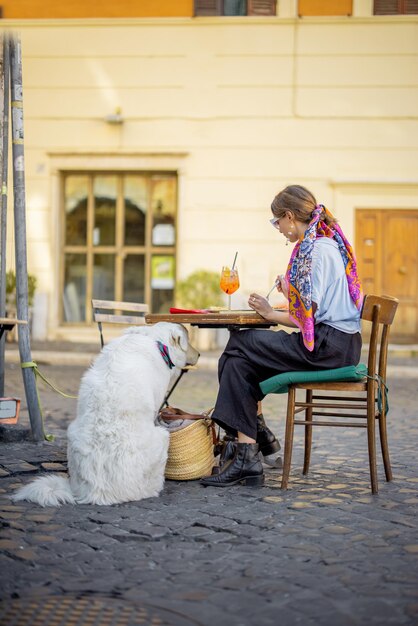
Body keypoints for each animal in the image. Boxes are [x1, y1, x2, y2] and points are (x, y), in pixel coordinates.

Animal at [10, 324, 198, 504]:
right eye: (188, 342)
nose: (199, 354)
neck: (154, 338)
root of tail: (95, 493)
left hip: (72, 433)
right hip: (162, 436)